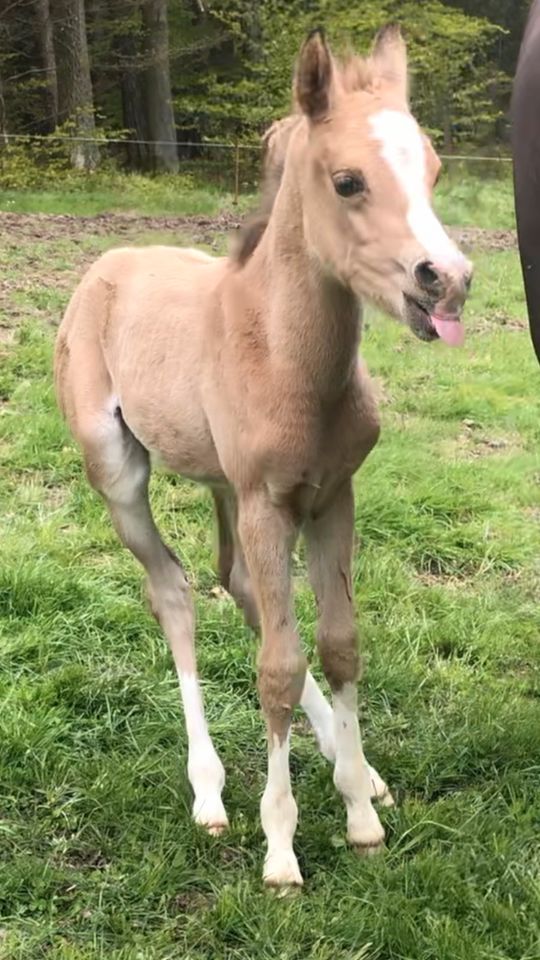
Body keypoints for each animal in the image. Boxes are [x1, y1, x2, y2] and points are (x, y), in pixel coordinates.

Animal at [52, 26, 470, 888]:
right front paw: (280, 848)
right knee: (174, 592)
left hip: (224, 486)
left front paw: (360, 809)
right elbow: (276, 667)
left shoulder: (330, 495)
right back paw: (209, 794)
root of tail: (107, 262)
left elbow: (337, 646)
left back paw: (353, 766)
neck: (287, 359)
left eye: (434, 170)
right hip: (122, 475)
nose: (447, 281)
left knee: (237, 584)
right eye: (348, 181)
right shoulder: (267, 501)